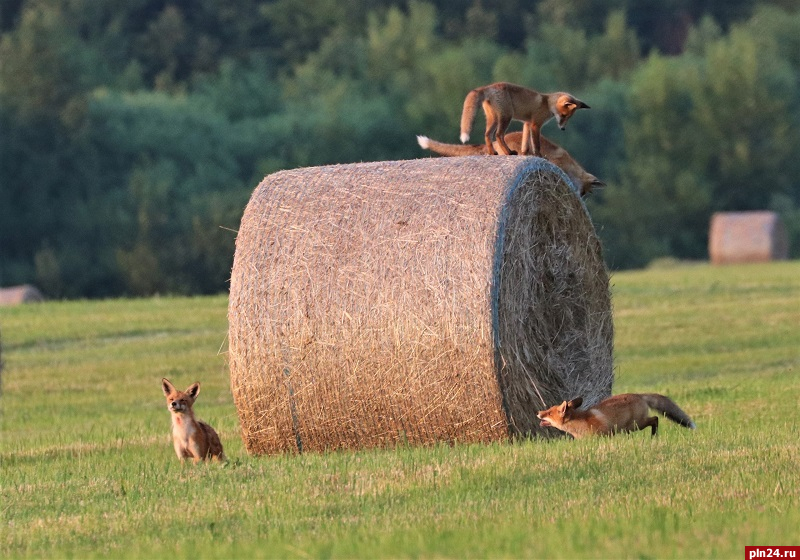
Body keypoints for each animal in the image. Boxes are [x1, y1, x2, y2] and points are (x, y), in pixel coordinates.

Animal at [536, 392, 700, 440]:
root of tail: (639, 395)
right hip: (630, 428)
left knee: (655, 419)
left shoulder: (604, 435)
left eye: (549, 413)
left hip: (635, 425)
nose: (538, 412)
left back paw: (654, 436)